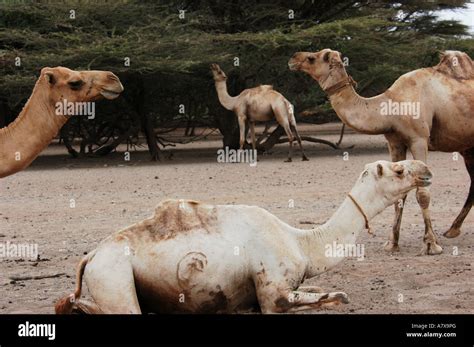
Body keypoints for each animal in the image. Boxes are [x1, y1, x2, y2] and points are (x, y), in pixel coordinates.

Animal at [54, 160, 430, 316]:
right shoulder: (272, 292)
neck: (301, 242)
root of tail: (90, 256)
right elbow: (337, 295)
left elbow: (332, 293)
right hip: (114, 275)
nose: (426, 169)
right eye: (399, 169)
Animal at [288, 49, 474, 256]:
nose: (293, 58)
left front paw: (431, 244)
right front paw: (392, 243)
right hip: (468, 147)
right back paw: (452, 230)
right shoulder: (395, 142)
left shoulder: (419, 139)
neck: (390, 107)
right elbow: (400, 193)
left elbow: (423, 194)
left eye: (312, 58)